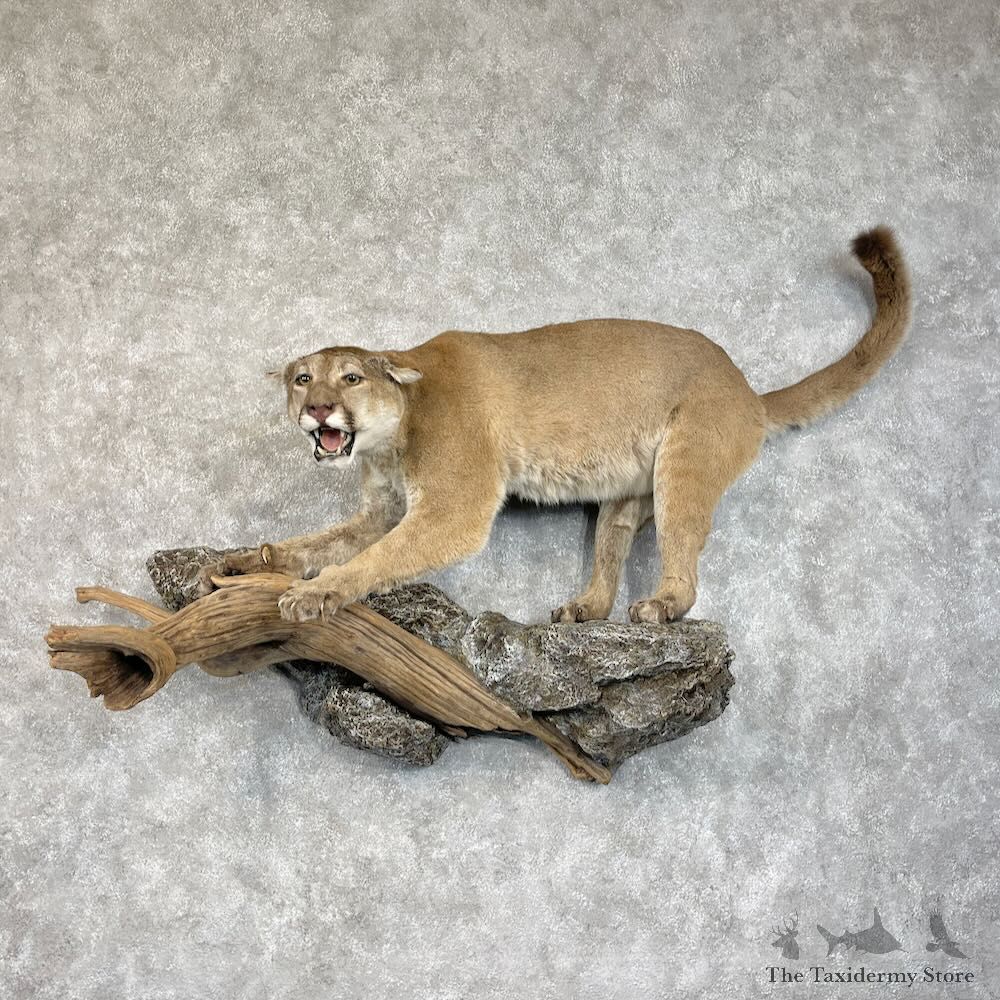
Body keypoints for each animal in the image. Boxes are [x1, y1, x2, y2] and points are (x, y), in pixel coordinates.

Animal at [202, 226, 911, 626]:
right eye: (302, 379)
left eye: (349, 378)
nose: (318, 408)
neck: (386, 443)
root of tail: (747, 389)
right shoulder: (382, 507)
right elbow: (321, 543)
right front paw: (247, 561)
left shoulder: (452, 509)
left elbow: (377, 557)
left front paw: (318, 595)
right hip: (626, 494)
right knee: (616, 544)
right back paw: (586, 609)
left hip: (685, 463)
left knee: (684, 554)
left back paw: (661, 606)